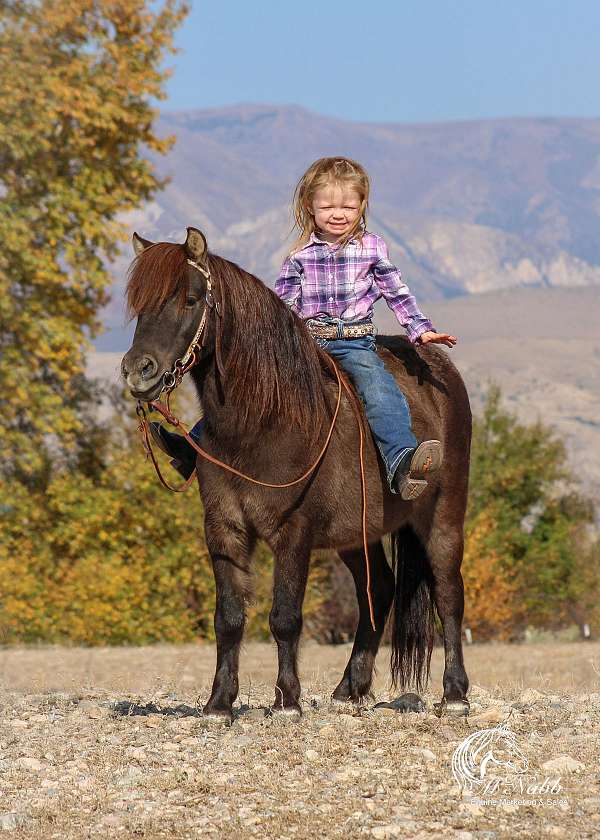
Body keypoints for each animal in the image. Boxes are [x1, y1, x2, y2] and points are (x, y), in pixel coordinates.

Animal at [122, 226, 472, 720]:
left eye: (190, 299)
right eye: (139, 304)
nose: (138, 371)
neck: (263, 421)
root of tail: (441, 375)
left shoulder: (294, 533)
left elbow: (285, 616)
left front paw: (287, 700)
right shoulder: (224, 529)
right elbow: (229, 617)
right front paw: (219, 703)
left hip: (442, 518)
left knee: (448, 593)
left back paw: (455, 693)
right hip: (357, 533)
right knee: (379, 590)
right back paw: (350, 688)